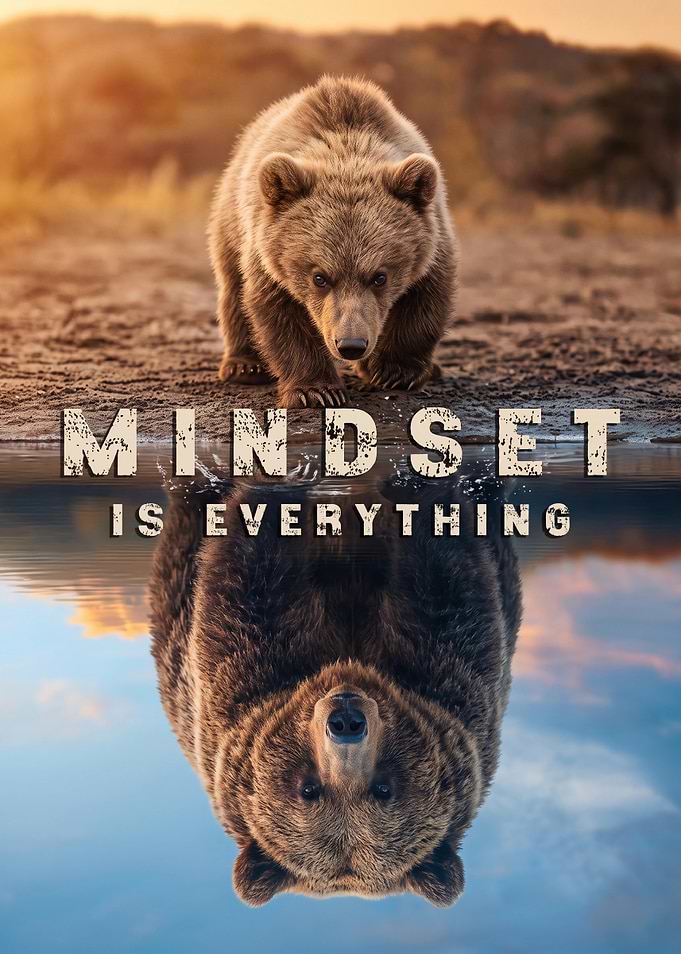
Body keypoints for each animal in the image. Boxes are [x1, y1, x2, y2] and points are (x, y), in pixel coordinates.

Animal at [149, 467, 521, 907]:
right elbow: (248, 586)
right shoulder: (237, 677)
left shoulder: (458, 682)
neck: (349, 659)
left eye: (383, 788)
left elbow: (449, 588)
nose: (346, 721)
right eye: (308, 789)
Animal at [208, 75, 458, 408]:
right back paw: (244, 365)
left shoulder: (432, 241)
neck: (346, 149)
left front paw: (395, 371)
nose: (351, 344)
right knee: (233, 286)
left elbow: (425, 299)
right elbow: (279, 313)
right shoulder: (268, 256)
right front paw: (316, 390)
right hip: (232, 219)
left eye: (380, 276)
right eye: (320, 277)